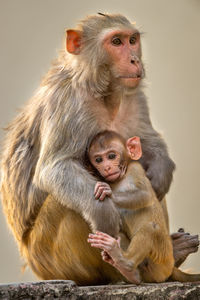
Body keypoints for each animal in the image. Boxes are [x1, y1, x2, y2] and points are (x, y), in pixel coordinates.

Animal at [87, 131, 200, 284]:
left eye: (111, 156)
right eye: (98, 159)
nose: (107, 167)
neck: (119, 179)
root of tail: (171, 267)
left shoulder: (135, 169)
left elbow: (145, 195)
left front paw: (108, 192)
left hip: (161, 262)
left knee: (150, 228)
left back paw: (125, 262)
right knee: (119, 233)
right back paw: (131, 274)